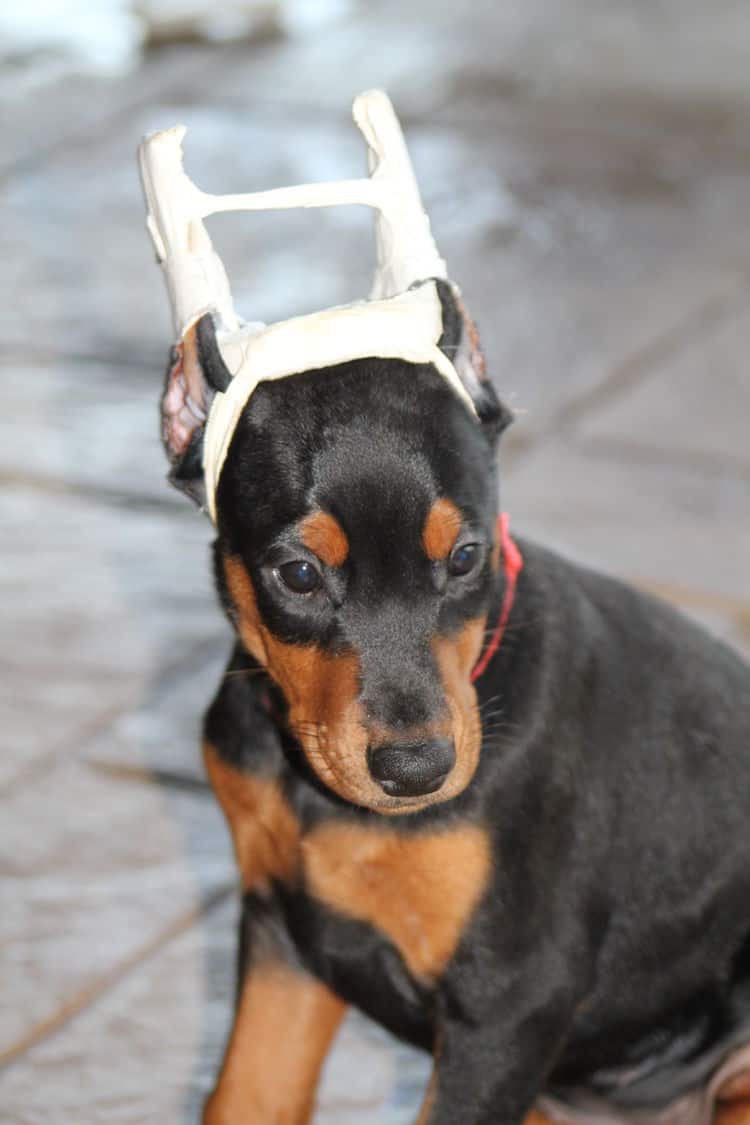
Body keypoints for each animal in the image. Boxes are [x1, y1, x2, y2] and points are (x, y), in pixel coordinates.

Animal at [161, 283, 750, 1125]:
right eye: (299, 574)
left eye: (467, 556)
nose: (417, 769)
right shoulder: (283, 934)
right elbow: (247, 1093)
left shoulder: (509, 997)